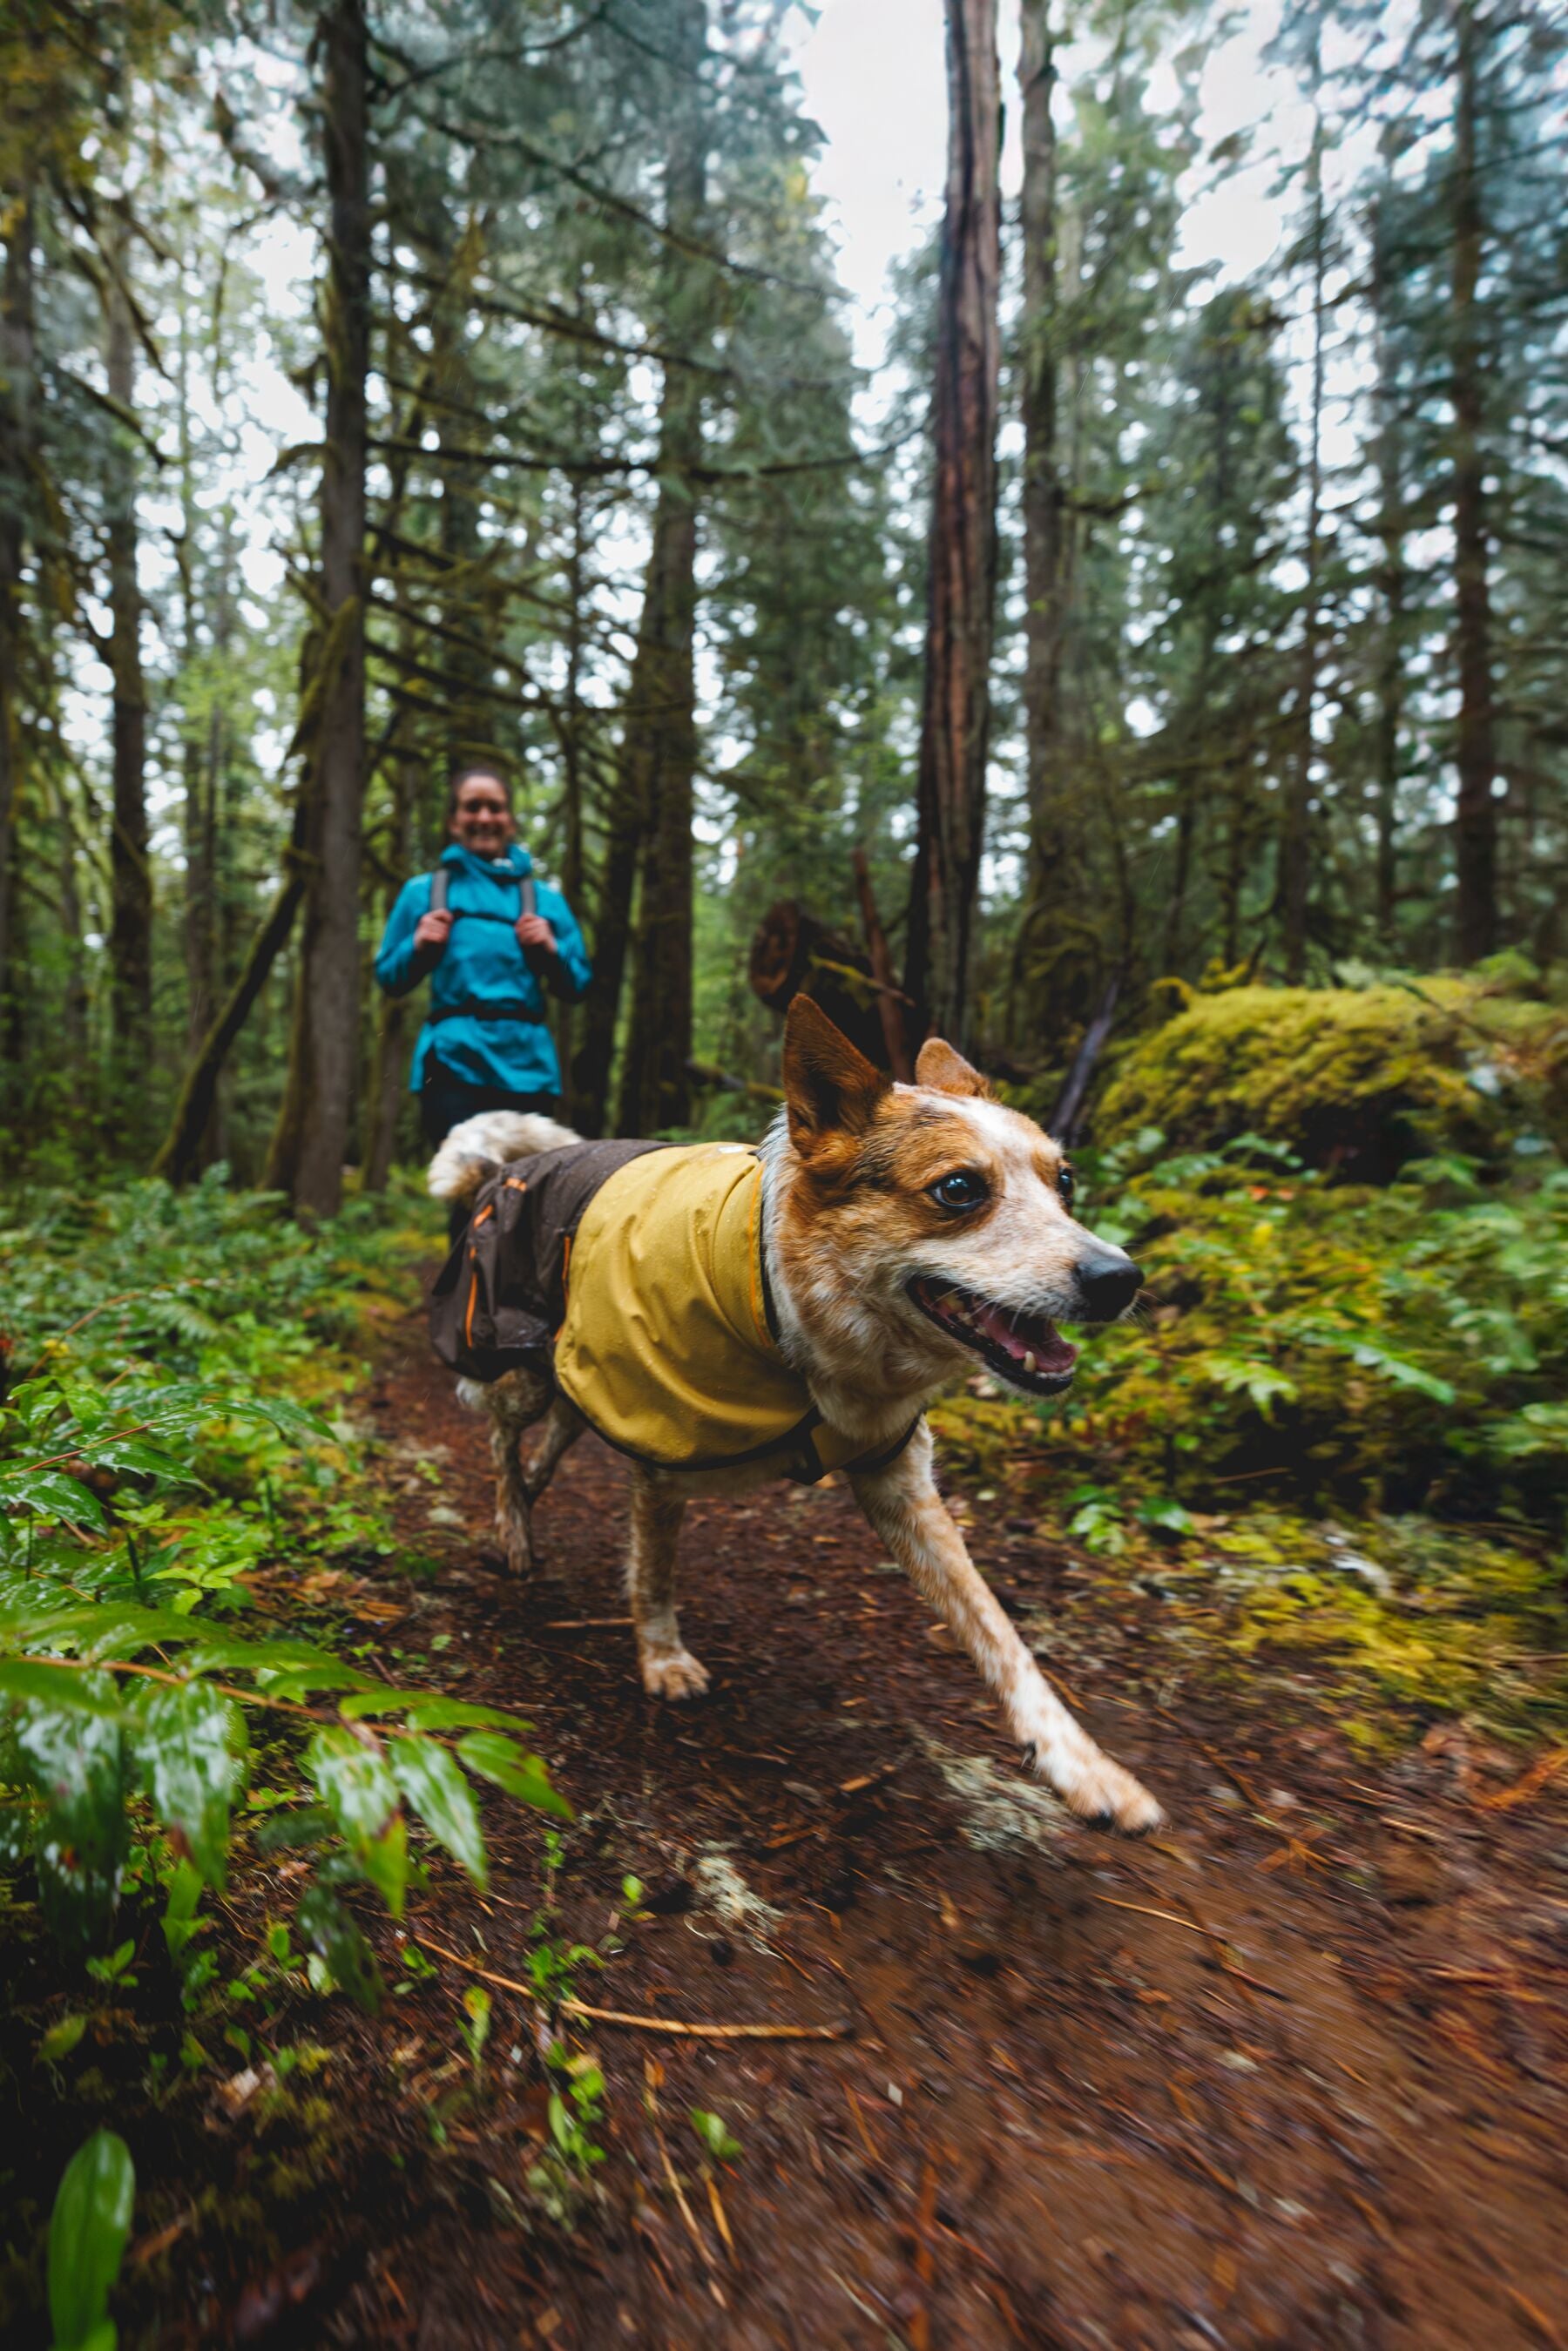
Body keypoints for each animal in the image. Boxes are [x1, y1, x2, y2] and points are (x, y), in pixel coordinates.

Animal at [429, 991, 1166, 1834]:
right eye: (958, 1190)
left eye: (1064, 1180)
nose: (1121, 1277)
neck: (784, 1307)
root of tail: (503, 1168)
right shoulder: (661, 1452)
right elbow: (653, 1575)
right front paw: (663, 1659)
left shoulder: (897, 1478)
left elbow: (1001, 1635)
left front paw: (1084, 1765)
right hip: (521, 1361)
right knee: (502, 1437)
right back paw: (513, 1528)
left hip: (577, 1365)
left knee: (557, 1431)